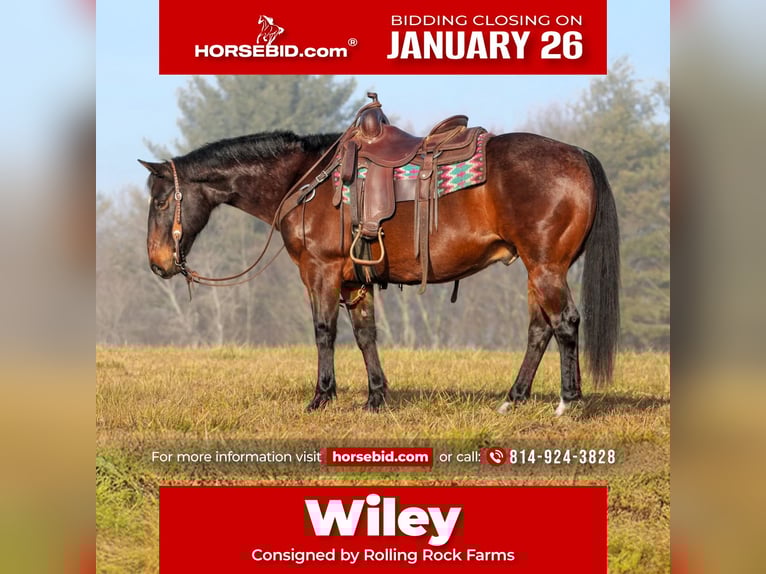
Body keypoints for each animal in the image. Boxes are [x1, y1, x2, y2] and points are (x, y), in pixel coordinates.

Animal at [139, 111, 619, 417]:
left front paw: (321, 397)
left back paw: (568, 402)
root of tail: (577, 154)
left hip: (546, 267)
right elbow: (365, 334)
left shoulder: (321, 271)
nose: (158, 263)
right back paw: (514, 399)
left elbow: (324, 332)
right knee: (539, 330)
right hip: (535, 270)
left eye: (161, 200)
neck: (305, 180)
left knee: (565, 323)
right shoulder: (355, 279)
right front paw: (375, 398)